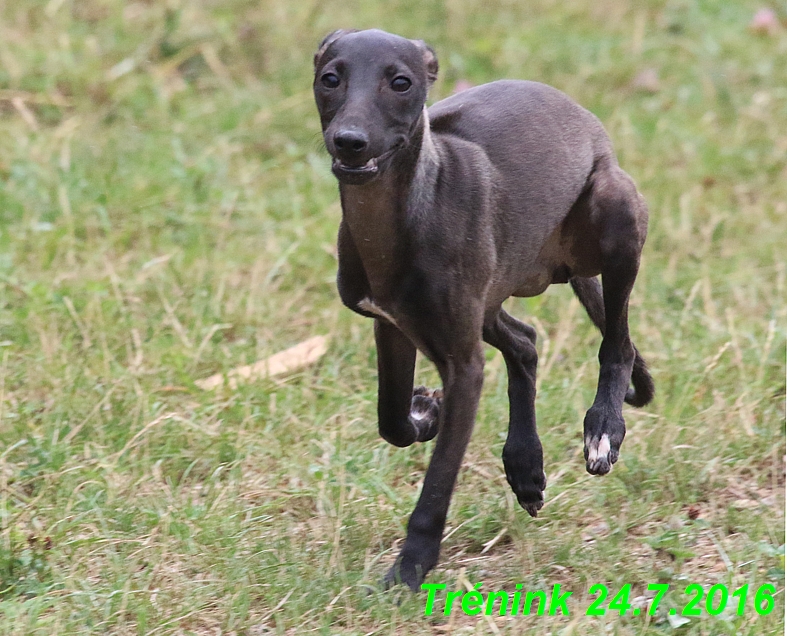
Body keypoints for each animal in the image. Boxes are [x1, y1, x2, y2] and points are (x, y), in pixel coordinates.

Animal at [310, 27, 656, 588]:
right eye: (330, 78)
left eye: (401, 82)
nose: (350, 141)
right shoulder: (393, 327)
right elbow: (392, 420)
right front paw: (425, 412)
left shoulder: (464, 365)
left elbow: (437, 482)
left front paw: (409, 570)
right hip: (493, 293)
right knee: (526, 344)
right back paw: (525, 463)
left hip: (613, 213)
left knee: (617, 343)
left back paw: (603, 427)